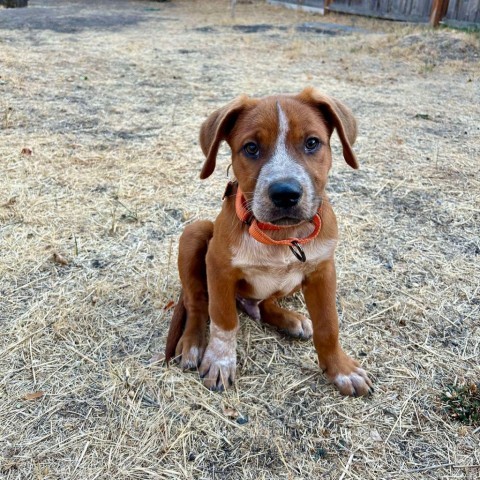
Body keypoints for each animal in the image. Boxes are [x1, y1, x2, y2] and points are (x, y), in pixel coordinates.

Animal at [167, 88, 374, 396]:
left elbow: (328, 324)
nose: (285, 193)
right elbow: (223, 319)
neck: (280, 235)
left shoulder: (323, 271)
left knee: (264, 304)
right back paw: (193, 343)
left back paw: (291, 320)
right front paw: (220, 361)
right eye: (251, 148)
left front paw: (341, 369)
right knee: (198, 302)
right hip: (195, 232)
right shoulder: (218, 268)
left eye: (312, 143)